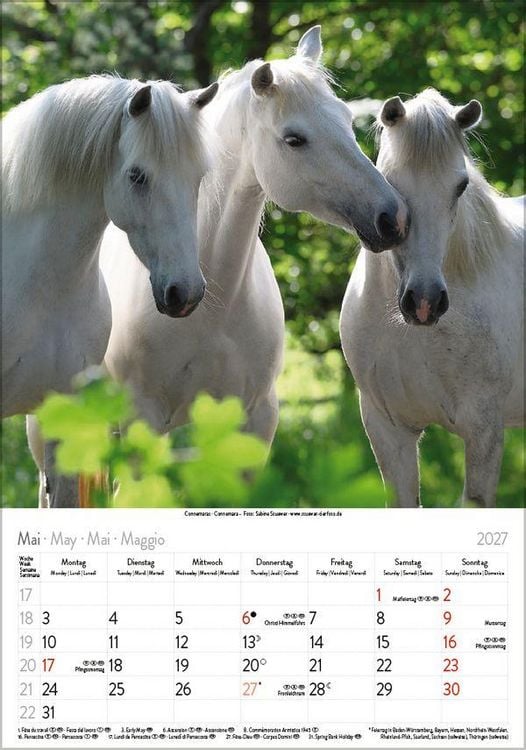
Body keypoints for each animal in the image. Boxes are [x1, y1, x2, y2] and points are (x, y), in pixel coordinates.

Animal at [35, 25, 410, 507]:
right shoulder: (143, 422)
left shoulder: (254, 422)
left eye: (347, 121)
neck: (211, 304)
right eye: (294, 138)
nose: (392, 218)